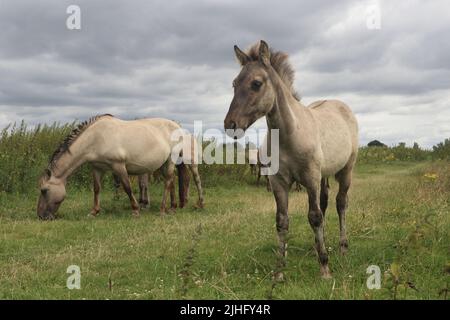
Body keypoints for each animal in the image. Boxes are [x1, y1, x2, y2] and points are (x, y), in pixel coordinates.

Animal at [38, 115, 204, 220]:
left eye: (44, 190)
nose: (41, 216)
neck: (96, 138)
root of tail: (179, 127)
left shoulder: (118, 166)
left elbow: (127, 188)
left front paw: (136, 210)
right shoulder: (97, 168)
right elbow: (96, 189)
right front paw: (94, 212)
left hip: (171, 160)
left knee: (175, 180)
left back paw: (171, 209)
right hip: (165, 163)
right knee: (172, 182)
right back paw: (173, 207)